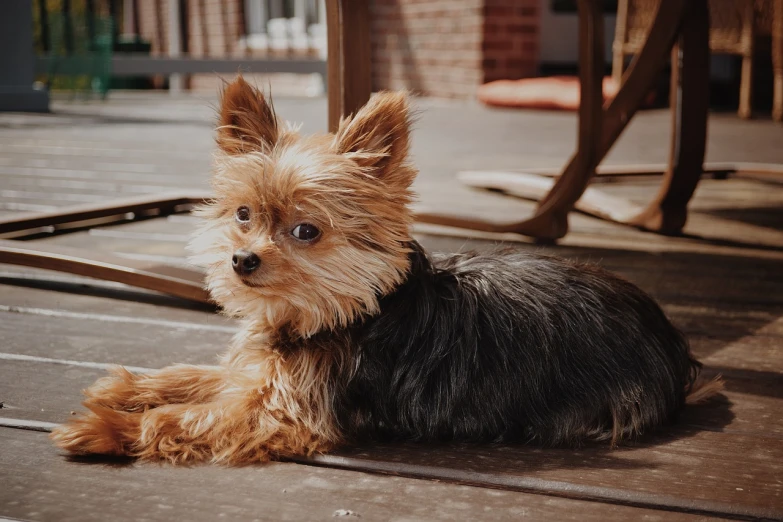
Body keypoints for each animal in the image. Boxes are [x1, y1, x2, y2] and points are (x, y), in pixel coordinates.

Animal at [50, 75, 724, 462]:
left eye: (306, 231)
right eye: (242, 215)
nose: (241, 260)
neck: (340, 313)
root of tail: (669, 339)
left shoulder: (284, 413)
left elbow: (191, 416)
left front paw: (103, 429)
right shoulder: (262, 372)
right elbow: (196, 378)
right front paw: (127, 388)